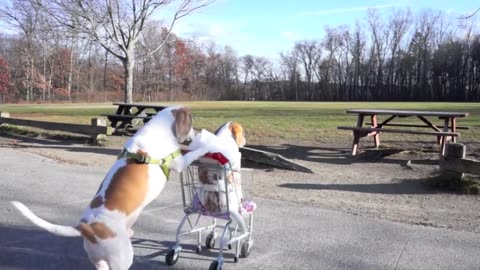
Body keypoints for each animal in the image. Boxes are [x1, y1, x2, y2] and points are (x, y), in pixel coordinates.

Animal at [10, 105, 207, 270]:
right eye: (191, 122)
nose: (196, 133)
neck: (160, 128)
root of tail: (87, 228)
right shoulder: (179, 163)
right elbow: (194, 153)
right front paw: (206, 146)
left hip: (99, 259)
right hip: (123, 258)